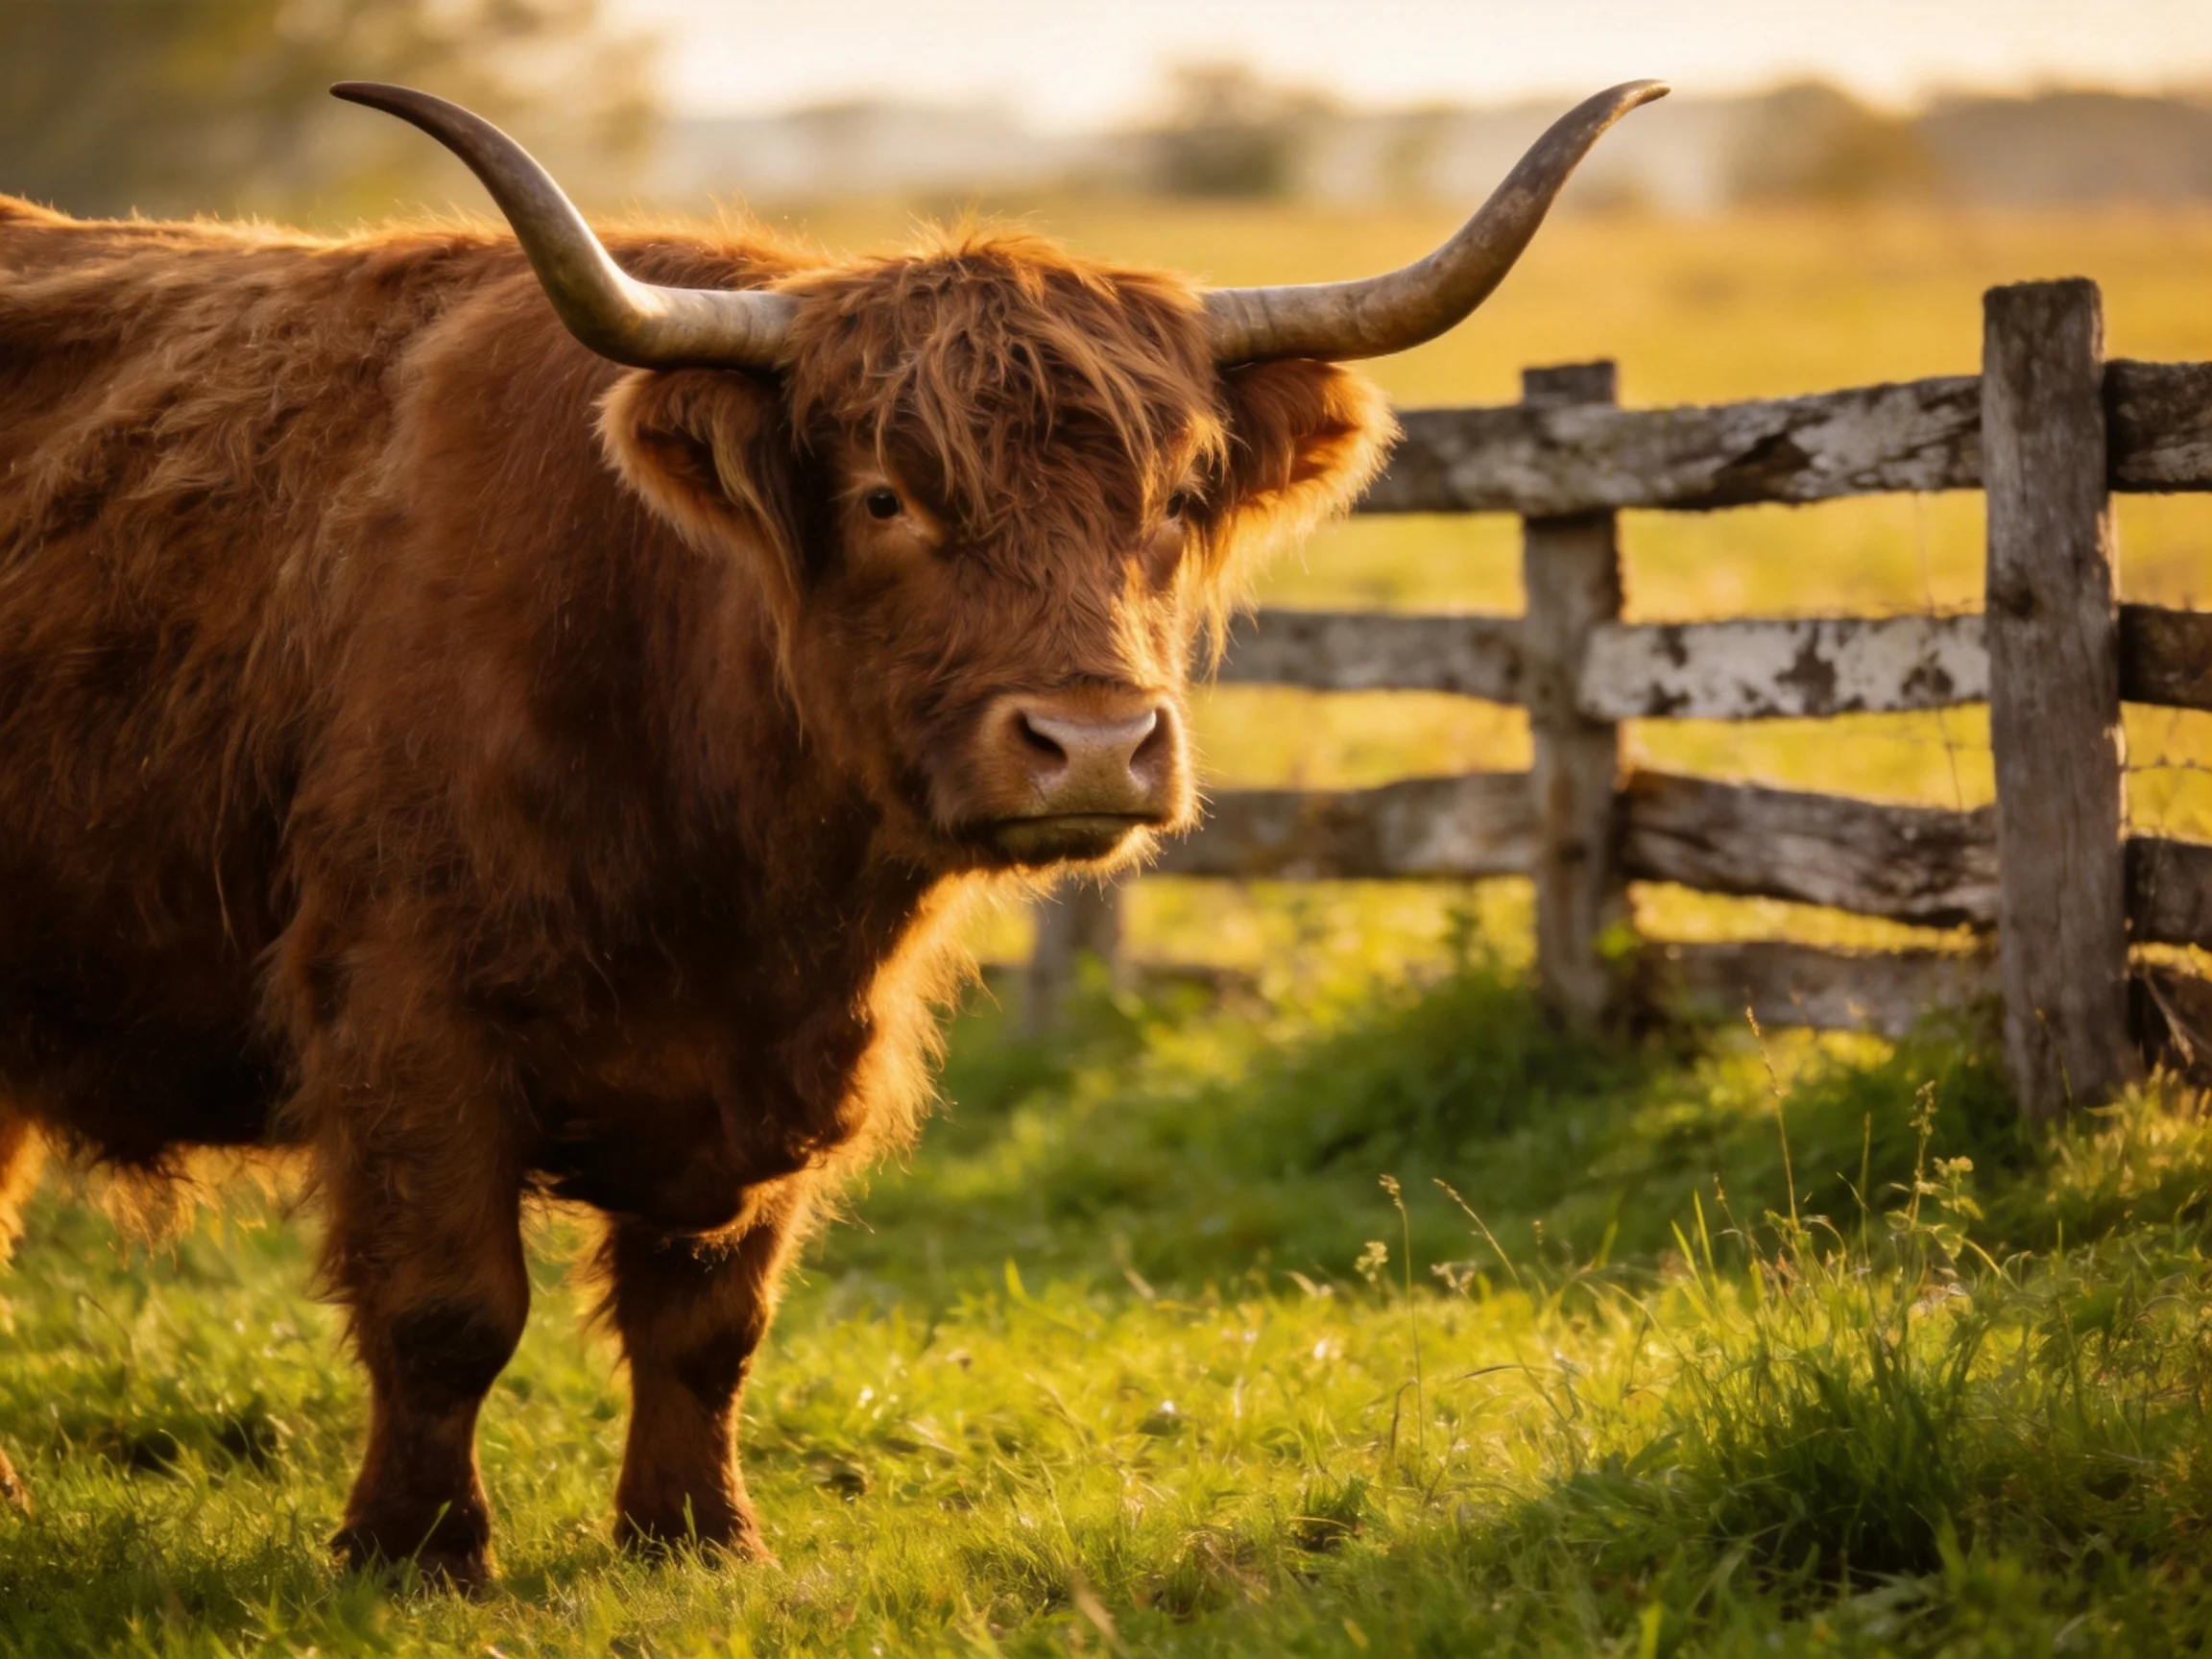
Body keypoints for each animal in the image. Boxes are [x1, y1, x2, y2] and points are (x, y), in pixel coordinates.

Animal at [0, 78, 1664, 1582]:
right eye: (883, 497)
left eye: (1179, 494)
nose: (1094, 745)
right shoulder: (401, 1006)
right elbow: (449, 1308)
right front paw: (416, 1551)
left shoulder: (788, 1058)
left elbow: (709, 1326)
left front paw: (693, 1537)